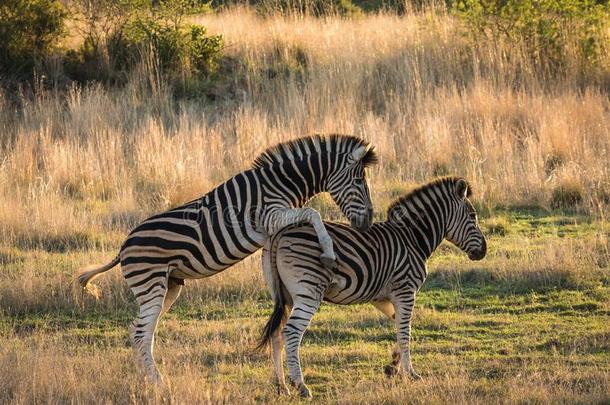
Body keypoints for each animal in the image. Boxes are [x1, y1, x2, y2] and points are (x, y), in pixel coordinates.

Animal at [77, 134, 376, 384]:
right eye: (359, 182)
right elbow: (314, 213)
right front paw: (328, 251)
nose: (368, 222)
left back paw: (146, 379)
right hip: (150, 283)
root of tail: (123, 247)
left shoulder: (273, 226)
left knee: (139, 331)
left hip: (167, 287)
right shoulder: (270, 215)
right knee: (141, 332)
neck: (283, 181)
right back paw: (157, 382)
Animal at [256, 176, 484, 394]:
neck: (412, 238)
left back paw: (281, 386)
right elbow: (405, 332)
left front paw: (393, 367)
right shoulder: (406, 290)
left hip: (284, 295)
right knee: (291, 332)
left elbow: (398, 326)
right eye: (473, 216)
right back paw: (300, 385)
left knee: (277, 334)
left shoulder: (382, 297)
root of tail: (280, 233)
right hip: (308, 289)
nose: (484, 251)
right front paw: (411, 374)